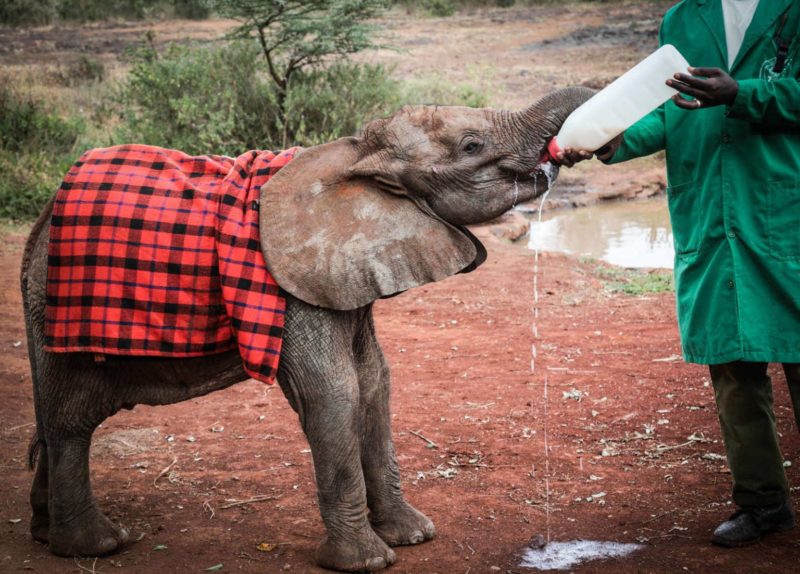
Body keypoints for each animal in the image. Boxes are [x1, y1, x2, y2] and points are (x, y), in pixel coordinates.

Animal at [18, 86, 592, 572]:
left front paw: (415, 536)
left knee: (50, 418)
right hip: (63, 308)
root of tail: (43, 218)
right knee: (70, 419)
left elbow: (374, 382)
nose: (566, 153)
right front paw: (366, 562)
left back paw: (45, 533)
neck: (355, 157)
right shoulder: (292, 287)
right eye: (472, 145)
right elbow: (335, 392)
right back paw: (95, 545)